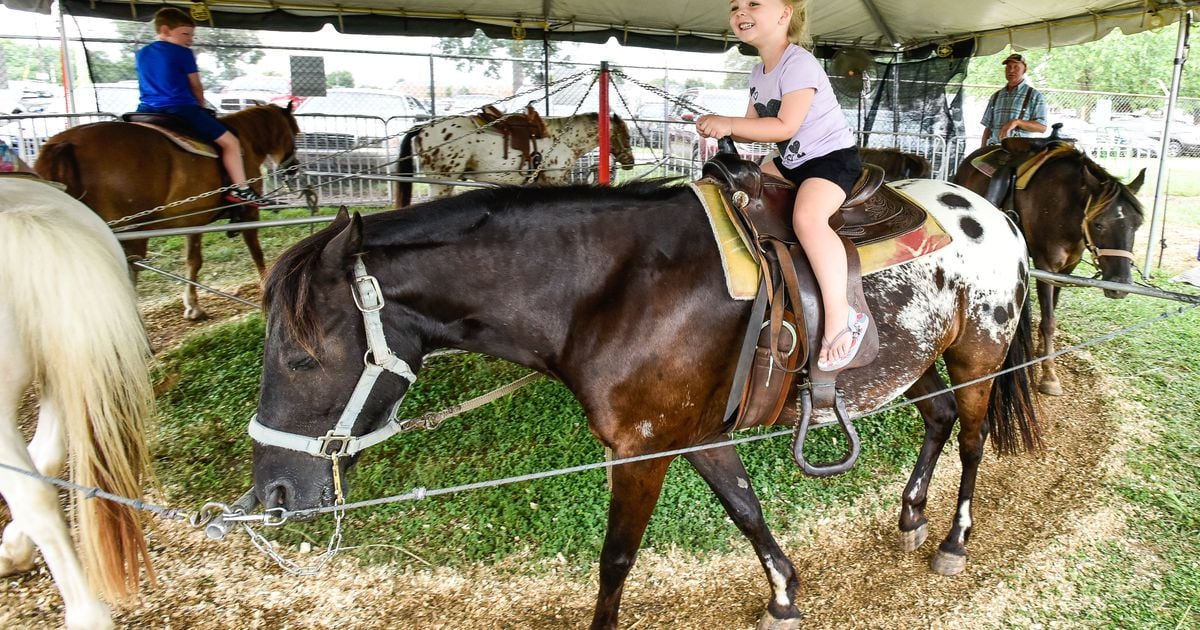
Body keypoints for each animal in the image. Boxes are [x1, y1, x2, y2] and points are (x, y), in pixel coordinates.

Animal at [36, 105, 302, 319]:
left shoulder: (193, 218)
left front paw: (193, 306)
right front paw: (266, 286)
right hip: (130, 230)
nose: (294, 168)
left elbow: (193, 260)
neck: (246, 139)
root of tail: (66, 144)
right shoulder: (249, 213)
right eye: (295, 132)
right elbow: (256, 251)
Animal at [955, 145, 1142, 396]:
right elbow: (1049, 321)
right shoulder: (1046, 266)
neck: (1064, 206)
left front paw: (1042, 350)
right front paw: (1049, 375)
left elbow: (1052, 310)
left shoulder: (1066, 270)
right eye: (1098, 224)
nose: (1120, 285)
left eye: (1137, 224)